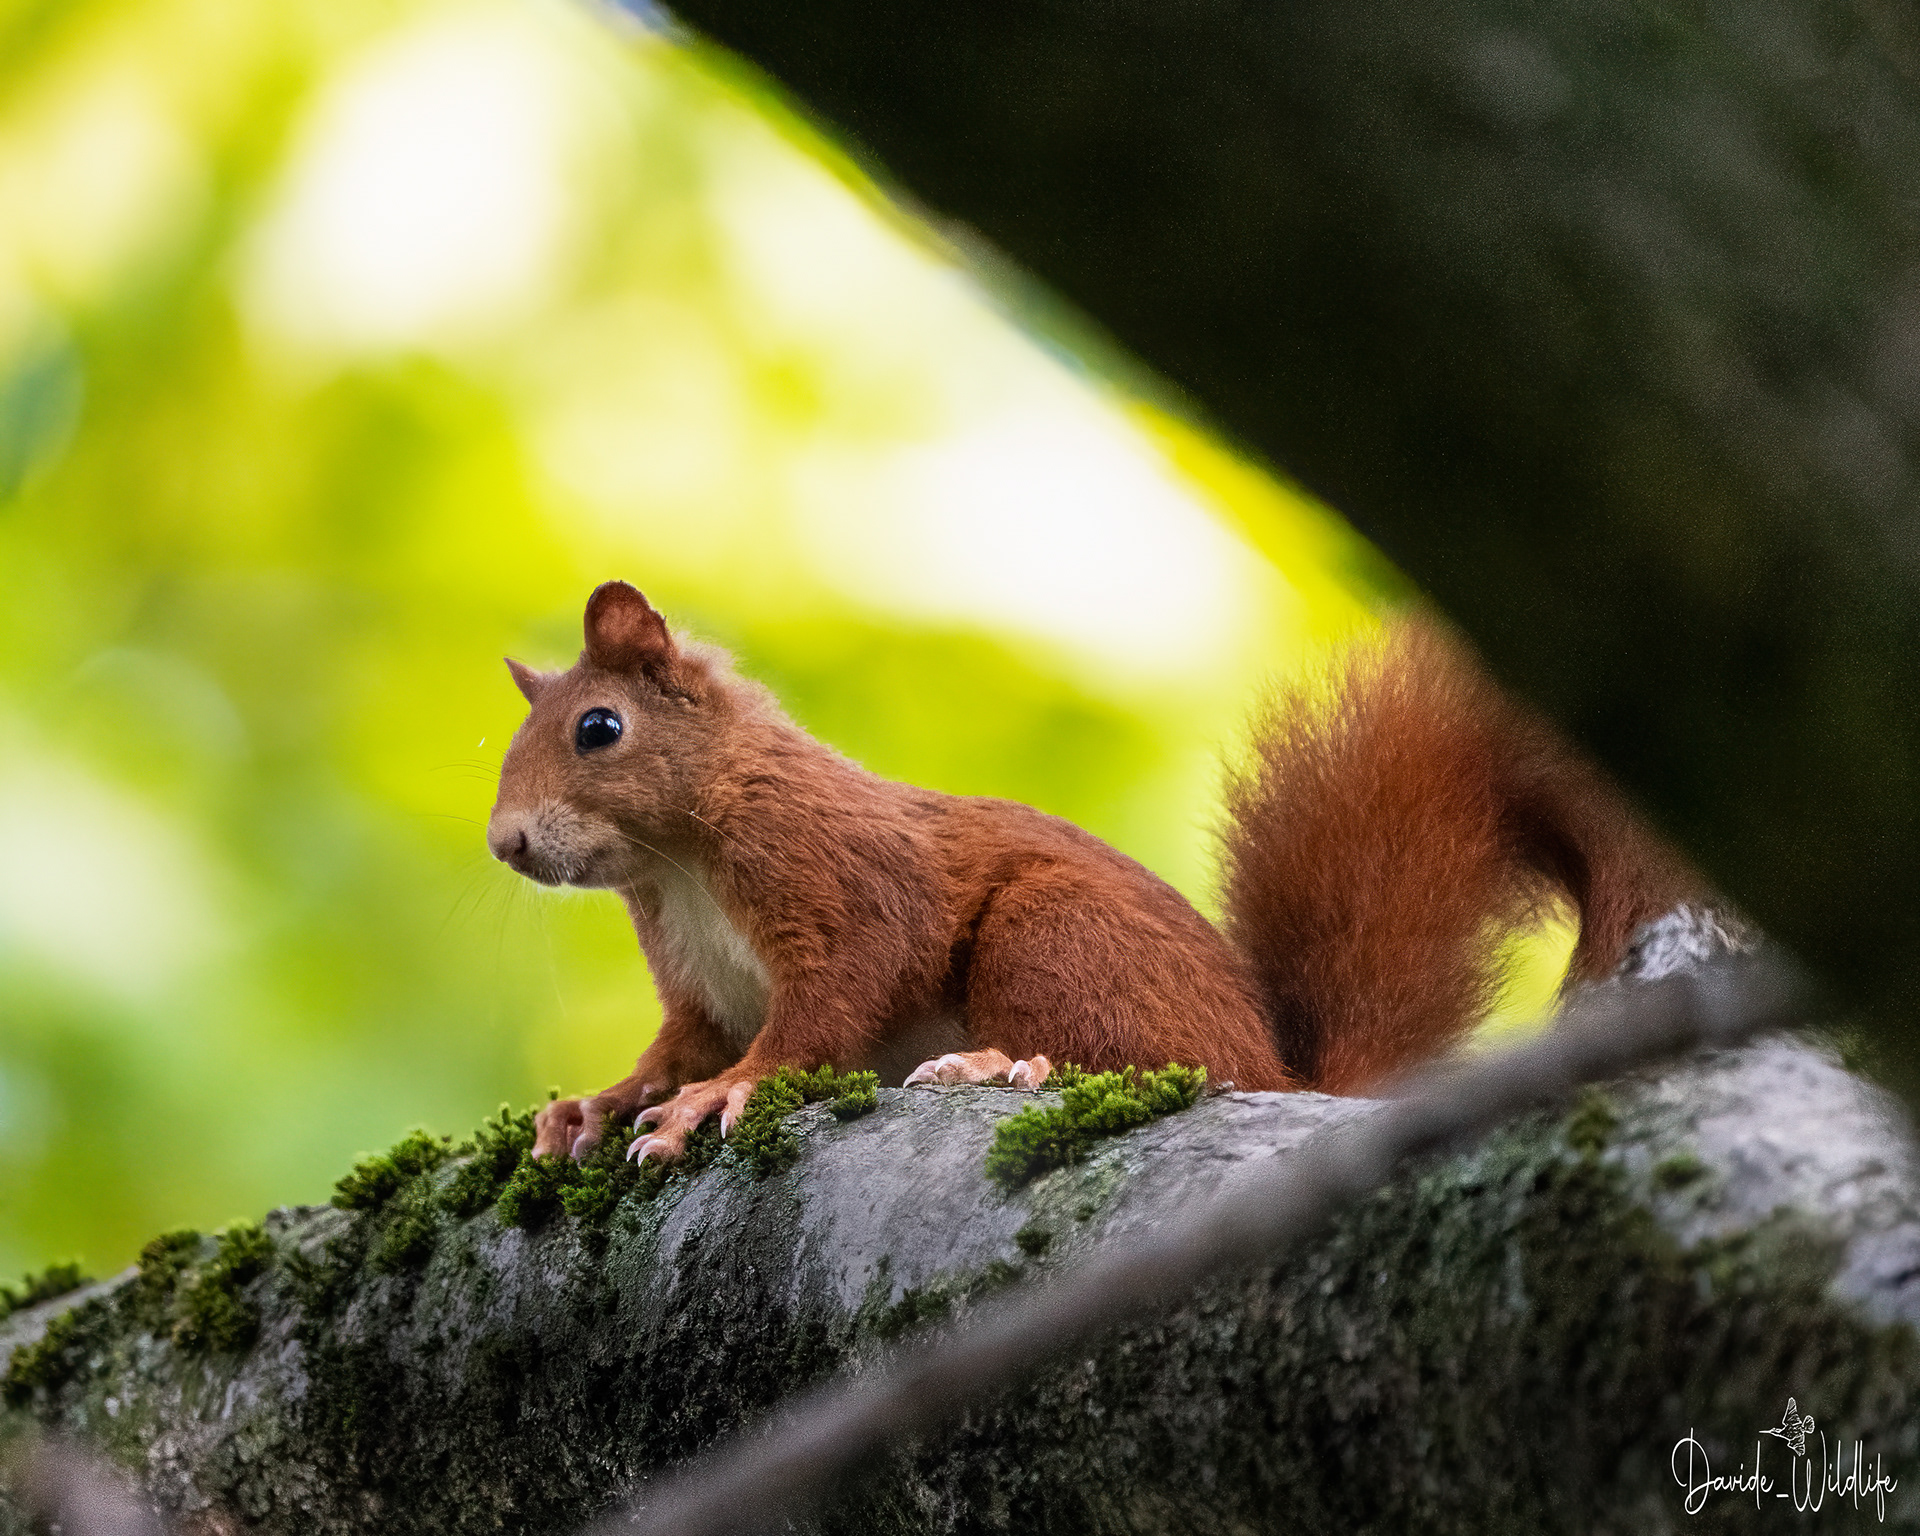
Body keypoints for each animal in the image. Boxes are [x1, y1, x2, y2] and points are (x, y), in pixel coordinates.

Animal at [487, 580, 1700, 1162]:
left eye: (599, 728)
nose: (505, 844)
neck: (676, 866)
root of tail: (1285, 1072)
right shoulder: (699, 984)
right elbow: (674, 1049)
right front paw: (596, 1107)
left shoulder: (834, 874)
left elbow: (837, 994)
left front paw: (723, 1096)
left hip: (1056, 933)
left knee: (1154, 1063)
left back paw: (1005, 1066)